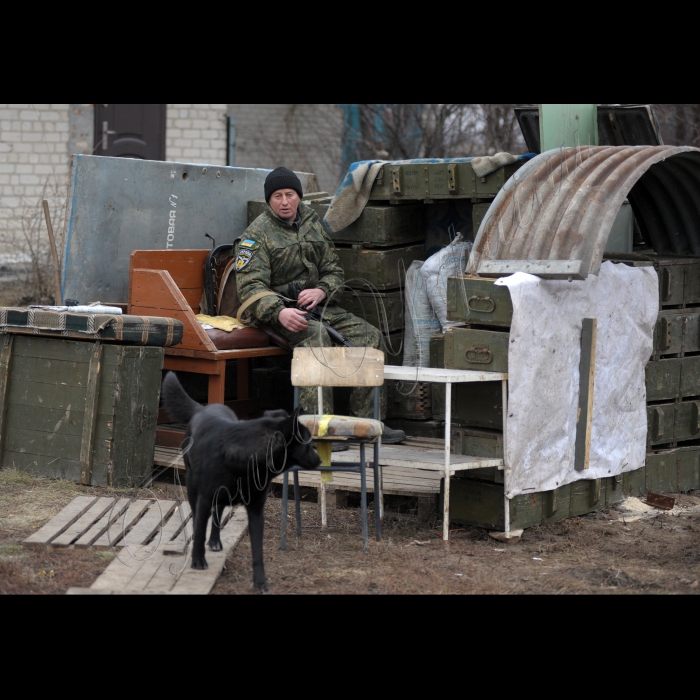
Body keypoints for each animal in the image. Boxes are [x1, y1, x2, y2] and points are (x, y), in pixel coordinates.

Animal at [161, 370, 320, 592]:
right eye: (308, 442)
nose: (320, 460)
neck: (246, 459)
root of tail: (203, 407)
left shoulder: (256, 511)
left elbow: (258, 552)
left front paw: (260, 582)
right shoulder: (204, 499)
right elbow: (199, 529)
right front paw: (198, 560)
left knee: (217, 515)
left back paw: (215, 540)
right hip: (193, 489)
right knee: (198, 520)